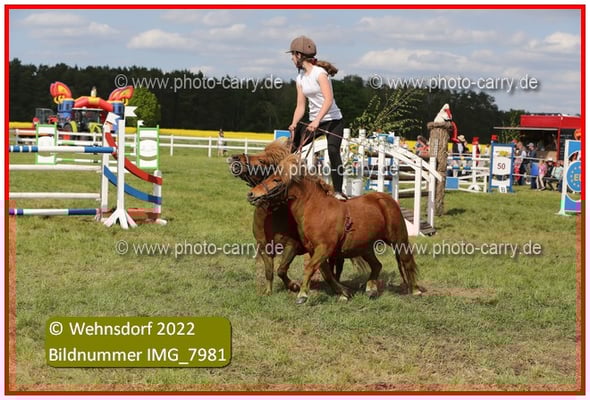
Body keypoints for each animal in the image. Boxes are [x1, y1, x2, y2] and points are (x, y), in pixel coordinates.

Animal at [228, 139, 369, 295]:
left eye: (261, 160)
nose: (235, 158)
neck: (272, 217)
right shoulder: (264, 247)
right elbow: (269, 272)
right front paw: (268, 291)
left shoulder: (292, 246)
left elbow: (281, 269)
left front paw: (293, 286)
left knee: (336, 266)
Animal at [247, 154, 422, 304]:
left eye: (276, 179)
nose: (251, 194)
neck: (317, 210)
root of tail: (385, 199)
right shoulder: (314, 250)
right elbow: (326, 273)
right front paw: (344, 293)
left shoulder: (323, 248)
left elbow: (310, 268)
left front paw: (302, 295)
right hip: (364, 247)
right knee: (377, 265)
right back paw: (371, 289)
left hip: (398, 240)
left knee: (406, 261)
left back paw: (415, 290)